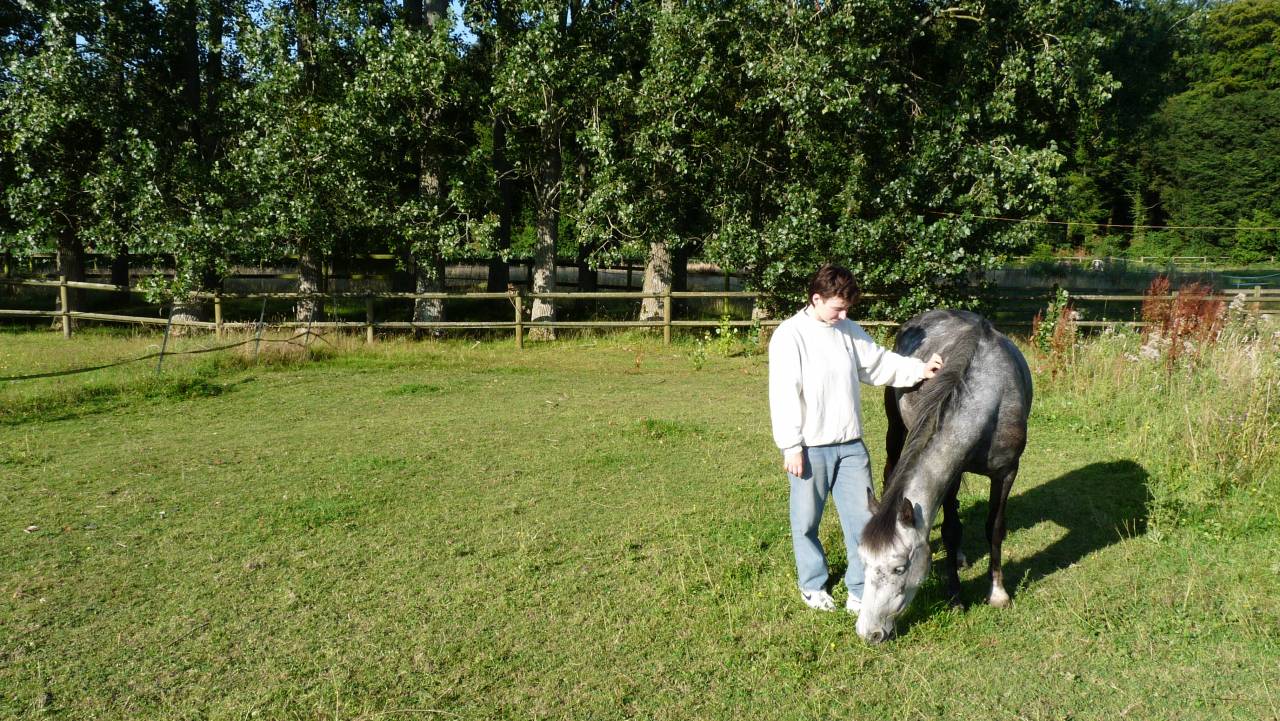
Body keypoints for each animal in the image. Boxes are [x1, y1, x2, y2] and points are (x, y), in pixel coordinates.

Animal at [854, 309, 1032, 644]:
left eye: (899, 569)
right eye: (864, 562)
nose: (868, 632)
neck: (992, 398)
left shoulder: (1007, 472)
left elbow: (995, 528)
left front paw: (998, 593)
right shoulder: (952, 472)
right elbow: (950, 531)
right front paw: (955, 597)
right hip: (895, 428)